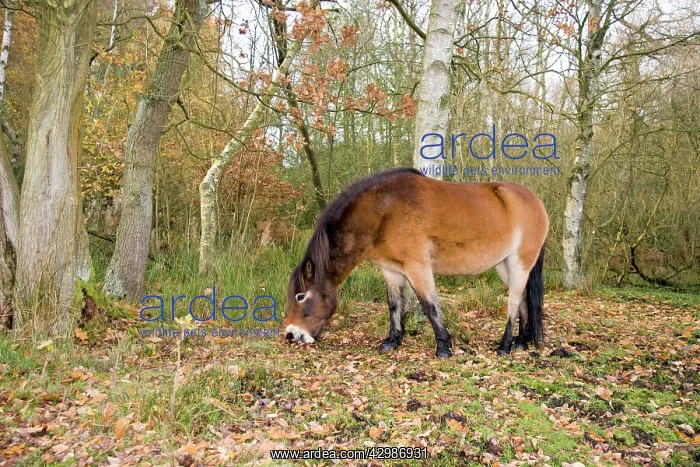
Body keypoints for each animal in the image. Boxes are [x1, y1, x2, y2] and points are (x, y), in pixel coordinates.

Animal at [283, 168, 549, 357]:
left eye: (300, 296)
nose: (291, 335)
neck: (383, 210)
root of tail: (535, 201)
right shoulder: (391, 270)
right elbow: (394, 306)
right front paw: (392, 342)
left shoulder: (417, 267)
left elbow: (429, 305)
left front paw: (443, 348)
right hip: (504, 266)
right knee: (522, 299)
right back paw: (521, 342)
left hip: (519, 263)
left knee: (513, 302)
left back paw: (504, 346)